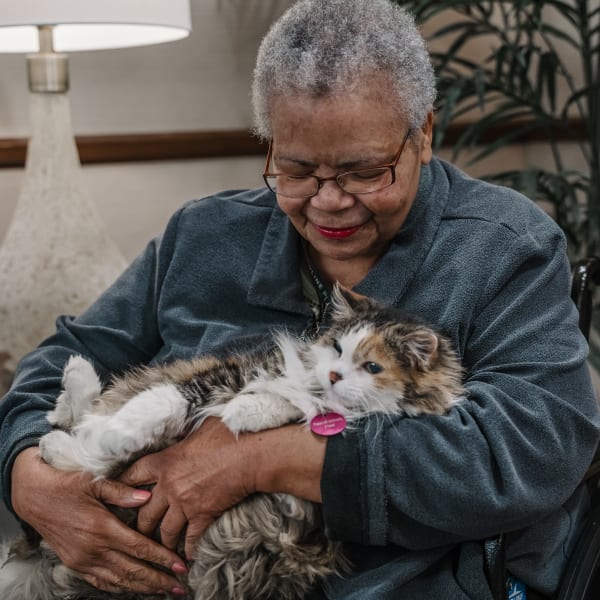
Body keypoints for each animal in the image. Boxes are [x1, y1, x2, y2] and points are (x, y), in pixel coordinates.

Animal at [0, 286, 466, 600]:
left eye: (371, 366)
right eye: (336, 347)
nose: (333, 375)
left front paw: (245, 412)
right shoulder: (219, 378)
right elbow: (160, 405)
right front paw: (114, 433)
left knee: (81, 454)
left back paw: (65, 434)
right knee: (80, 421)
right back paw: (75, 382)